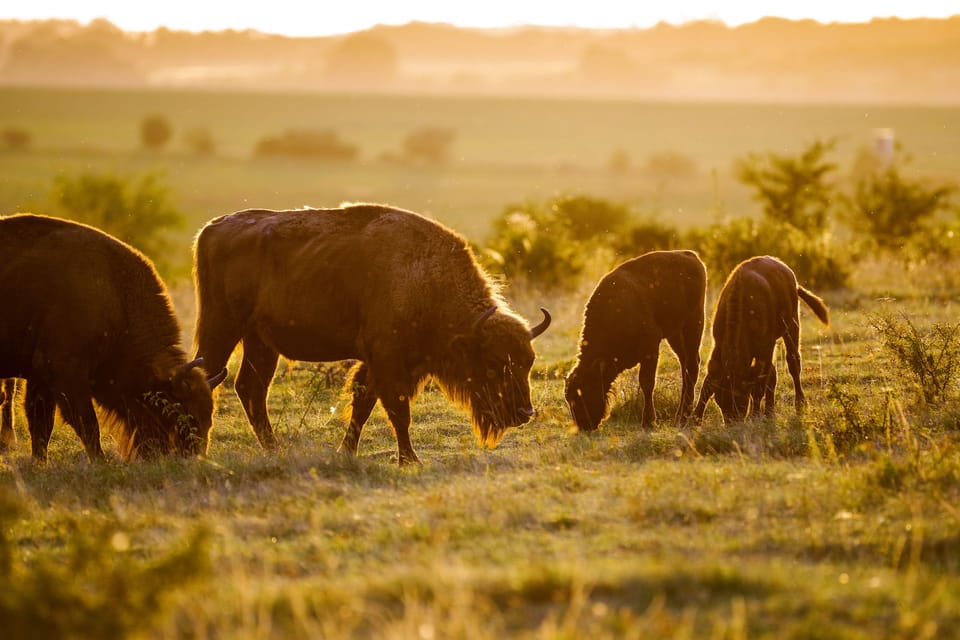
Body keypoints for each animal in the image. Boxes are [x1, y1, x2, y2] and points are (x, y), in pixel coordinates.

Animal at [0, 214, 227, 460]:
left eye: (208, 416)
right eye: (181, 414)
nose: (193, 456)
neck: (116, 296)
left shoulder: (40, 377)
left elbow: (41, 425)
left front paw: (40, 462)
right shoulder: (65, 373)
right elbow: (87, 423)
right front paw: (100, 460)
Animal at [191, 202, 552, 462]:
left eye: (527, 363)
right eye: (492, 363)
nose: (524, 413)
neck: (426, 278)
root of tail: (212, 228)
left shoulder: (381, 363)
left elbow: (363, 404)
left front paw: (346, 451)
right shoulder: (388, 360)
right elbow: (397, 411)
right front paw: (410, 459)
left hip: (260, 341)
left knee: (250, 389)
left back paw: (273, 448)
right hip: (221, 328)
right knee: (210, 377)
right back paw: (199, 448)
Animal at [564, 250, 704, 430]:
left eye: (585, 391)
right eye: (568, 398)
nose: (583, 425)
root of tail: (690, 255)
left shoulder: (651, 347)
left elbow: (646, 382)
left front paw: (648, 421)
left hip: (693, 324)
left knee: (692, 366)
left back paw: (683, 418)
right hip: (675, 334)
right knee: (685, 366)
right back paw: (679, 417)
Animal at [692, 255, 828, 424]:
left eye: (740, 400)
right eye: (720, 401)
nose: (732, 423)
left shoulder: (765, 348)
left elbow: (759, 385)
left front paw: (755, 415)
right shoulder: (718, 347)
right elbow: (706, 386)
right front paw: (695, 417)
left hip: (792, 326)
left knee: (793, 362)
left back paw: (800, 405)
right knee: (773, 374)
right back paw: (770, 412)